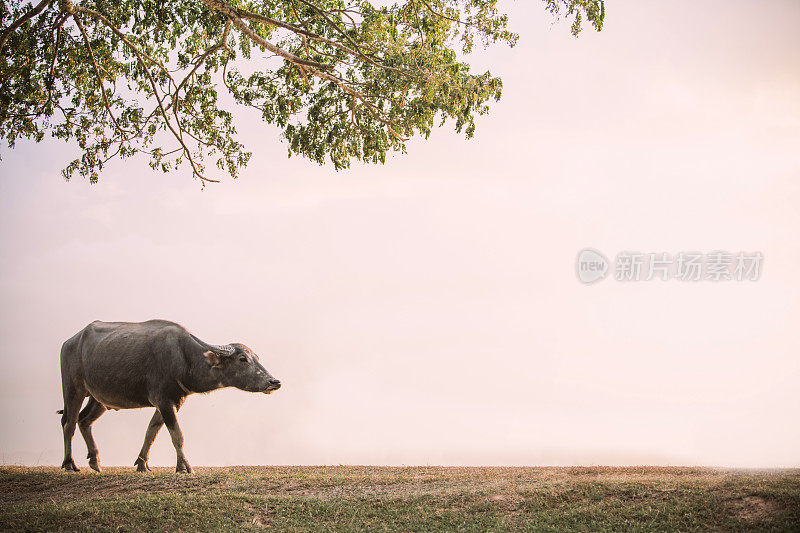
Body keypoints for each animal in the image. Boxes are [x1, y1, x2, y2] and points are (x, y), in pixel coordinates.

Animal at [57, 318, 282, 472]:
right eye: (243, 359)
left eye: (256, 357)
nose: (274, 382)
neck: (185, 359)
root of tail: (70, 341)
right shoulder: (164, 401)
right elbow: (177, 435)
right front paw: (184, 467)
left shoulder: (173, 401)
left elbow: (152, 431)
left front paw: (142, 464)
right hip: (73, 388)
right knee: (69, 423)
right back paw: (69, 464)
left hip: (99, 398)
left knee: (84, 420)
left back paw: (95, 461)